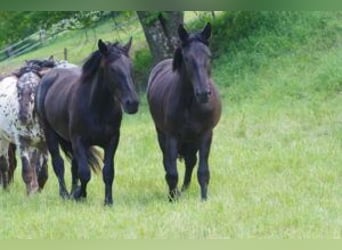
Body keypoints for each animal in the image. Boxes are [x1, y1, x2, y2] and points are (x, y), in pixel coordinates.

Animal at [36, 39, 139, 205]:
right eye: (112, 69)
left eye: (130, 66)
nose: (133, 103)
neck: (97, 107)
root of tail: (48, 75)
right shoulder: (79, 141)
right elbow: (85, 173)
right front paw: (79, 194)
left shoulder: (112, 141)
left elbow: (108, 172)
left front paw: (108, 201)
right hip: (50, 134)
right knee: (58, 164)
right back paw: (65, 194)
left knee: (73, 166)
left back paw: (72, 192)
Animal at [146, 23, 222, 201]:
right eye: (187, 59)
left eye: (209, 56)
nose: (203, 93)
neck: (190, 104)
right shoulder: (172, 136)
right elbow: (172, 172)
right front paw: (172, 198)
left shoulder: (205, 134)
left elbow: (202, 171)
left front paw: (203, 198)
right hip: (162, 135)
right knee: (168, 162)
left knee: (190, 161)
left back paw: (185, 188)